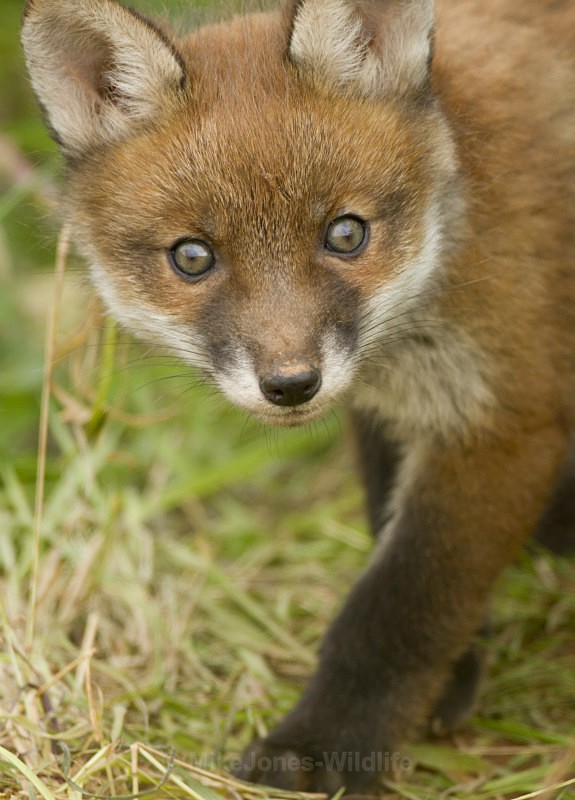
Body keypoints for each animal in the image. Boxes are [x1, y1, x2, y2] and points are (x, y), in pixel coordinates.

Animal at [21, 0, 575, 793]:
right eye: (193, 257)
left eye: (345, 234)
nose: (290, 384)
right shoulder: (391, 410)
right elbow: (391, 538)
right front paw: (458, 666)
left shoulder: (504, 418)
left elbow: (396, 608)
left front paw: (324, 748)